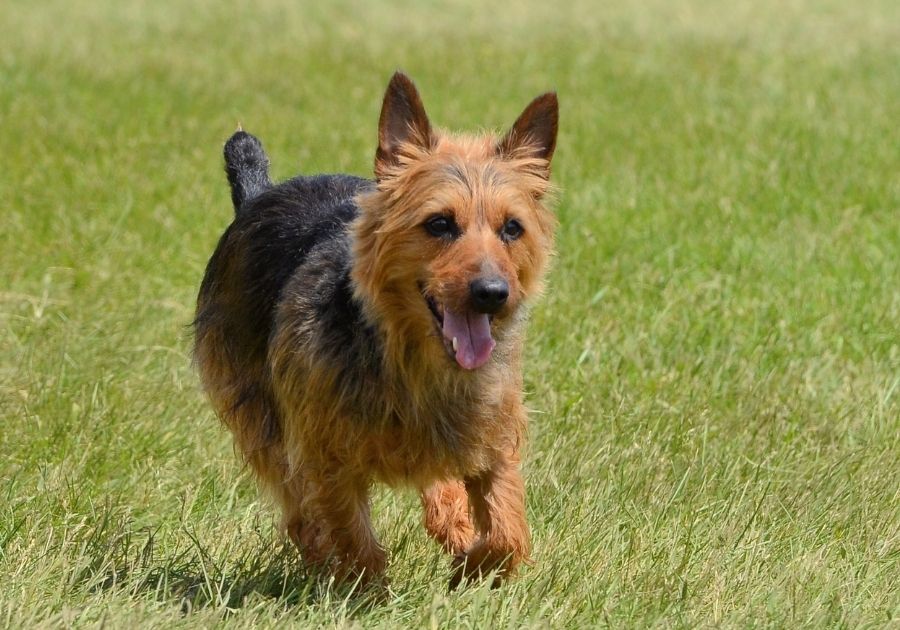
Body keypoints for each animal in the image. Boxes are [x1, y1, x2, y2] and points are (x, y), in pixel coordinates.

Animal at [194, 73, 560, 588]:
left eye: (512, 228)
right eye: (439, 224)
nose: (492, 292)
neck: (413, 364)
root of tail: (258, 195)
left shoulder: (495, 438)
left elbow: (509, 532)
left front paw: (469, 569)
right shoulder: (324, 456)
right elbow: (352, 538)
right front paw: (365, 593)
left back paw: (451, 521)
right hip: (258, 419)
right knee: (298, 513)